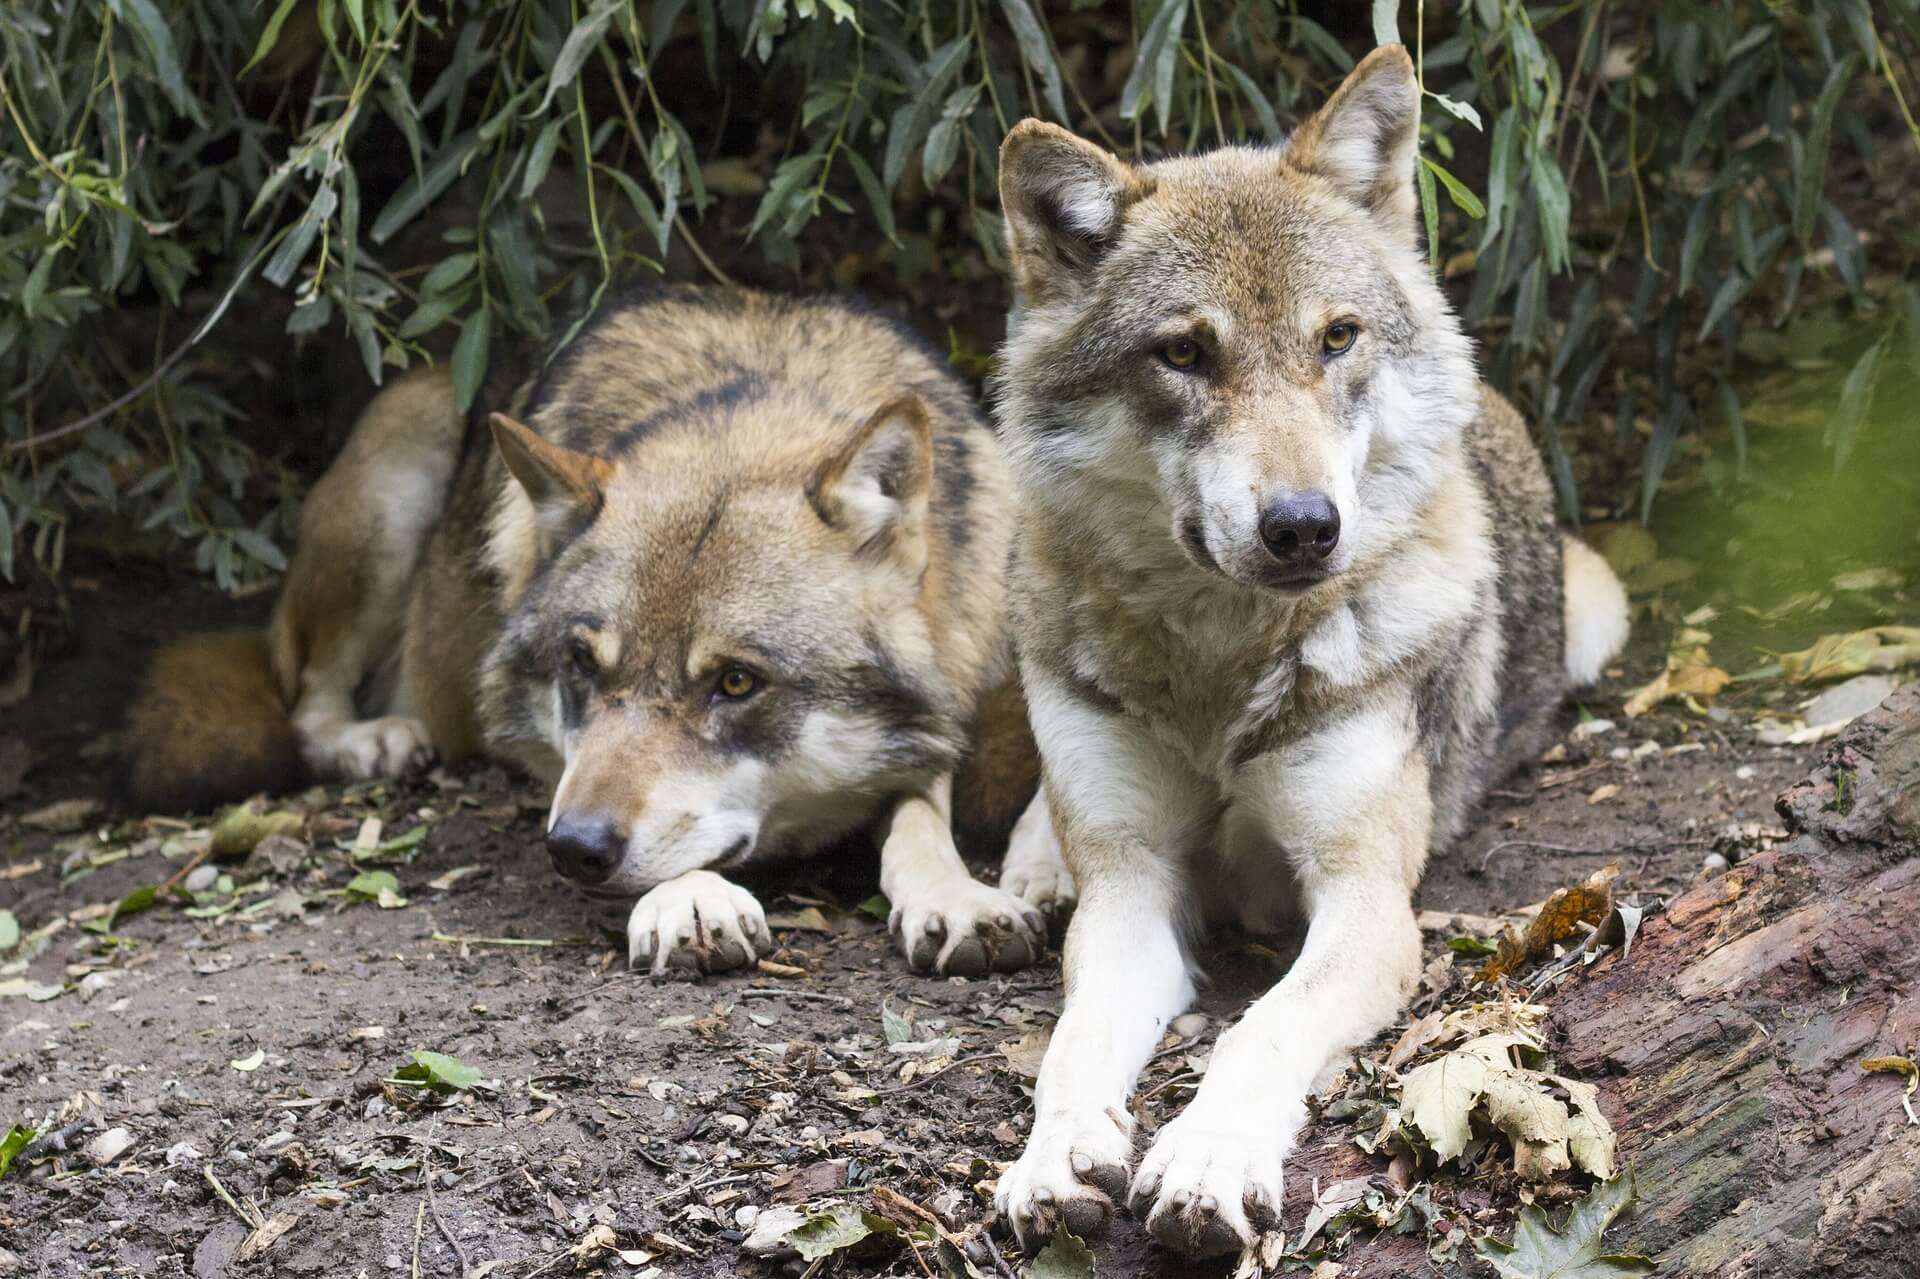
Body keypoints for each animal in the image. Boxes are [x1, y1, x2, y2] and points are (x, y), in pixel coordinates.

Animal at [123, 287, 1073, 976]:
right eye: (581, 665)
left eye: (734, 681)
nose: (572, 849)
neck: (755, 401)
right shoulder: (557, 765)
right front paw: (693, 897)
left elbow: (929, 804)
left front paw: (960, 893)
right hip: (399, 465)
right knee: (304, 700)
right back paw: (376, 740)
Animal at [986, 46, 1630, 1256]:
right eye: (1184, 353)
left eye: (1336, 337)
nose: (1302, 526)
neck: (1217, 668)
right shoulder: (1133, 890)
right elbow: (1073, 1043)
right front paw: (1053, 1158)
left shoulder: (1367, 900)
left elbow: (1261, 1029)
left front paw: (1207, 1158)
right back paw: (1029, 873)